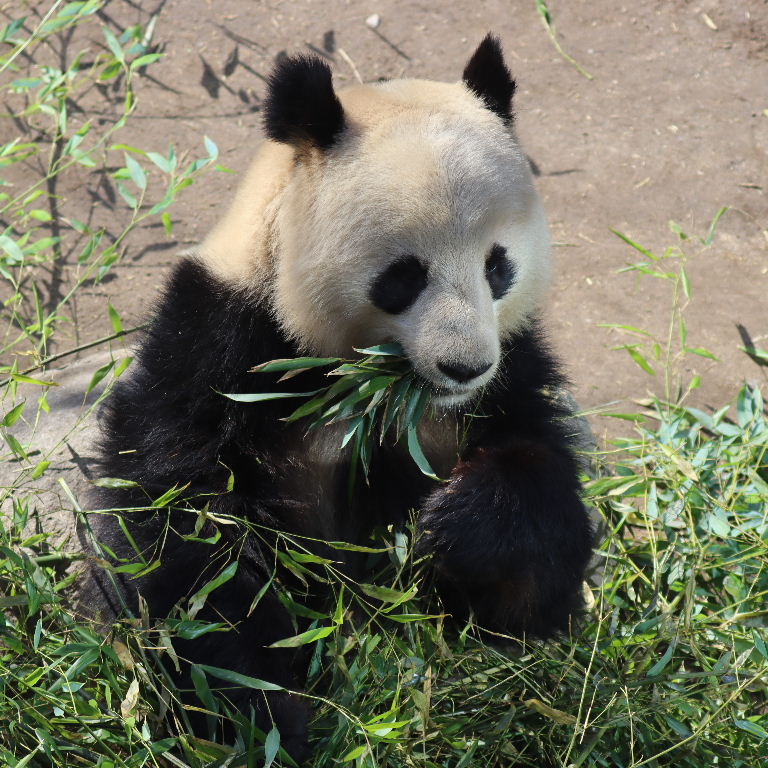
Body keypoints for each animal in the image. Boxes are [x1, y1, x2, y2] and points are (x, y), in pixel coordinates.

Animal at [81, 35, 594, 762]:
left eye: (498, 264)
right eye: (404, 276)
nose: (464, 366)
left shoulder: (513, 368)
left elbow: (537, 517)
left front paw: (457, 524)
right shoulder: (220, 342)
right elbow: (186, 528)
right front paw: (260, 717)